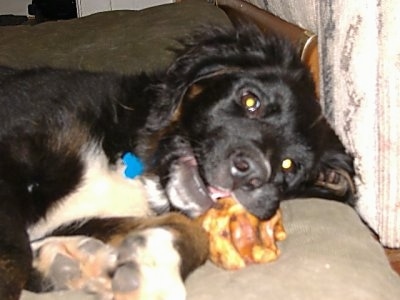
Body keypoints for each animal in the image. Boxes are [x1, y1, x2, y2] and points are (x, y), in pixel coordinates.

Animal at [0, 26, 354, 300]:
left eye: (289, 166)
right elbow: (14, 253)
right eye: (250, 100)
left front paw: (147, 271)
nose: (253, 174)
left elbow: (191, 230)